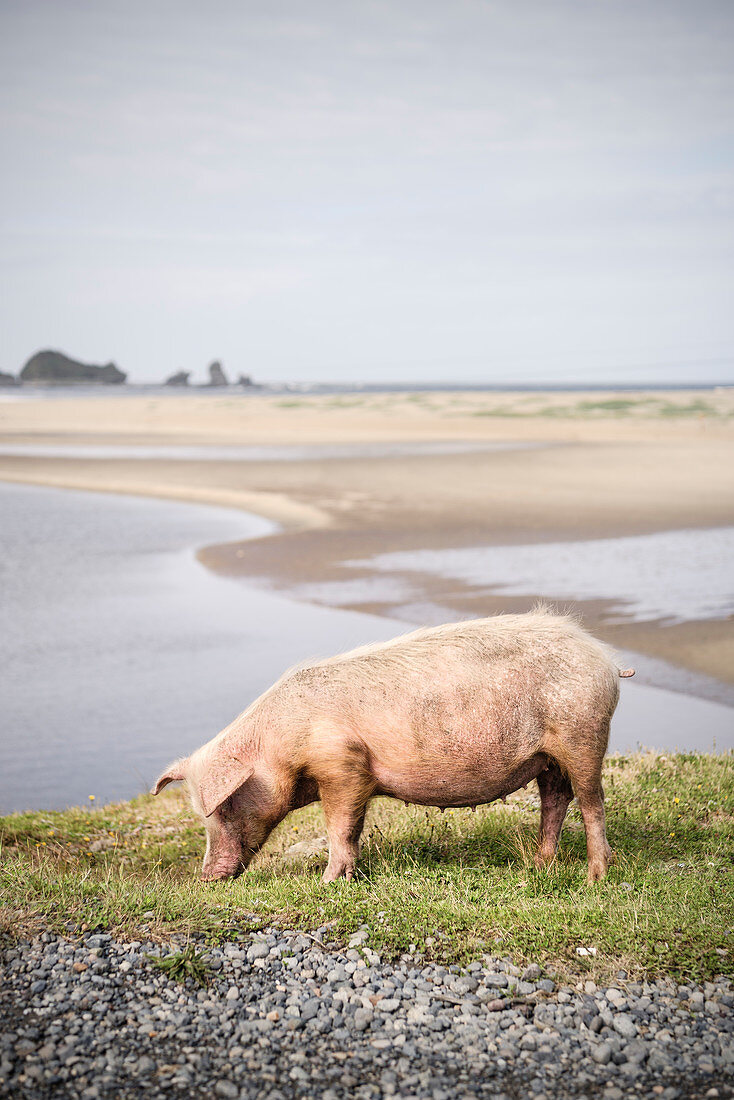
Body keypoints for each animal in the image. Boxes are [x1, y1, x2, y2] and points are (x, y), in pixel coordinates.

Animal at [151, 611, 633, 884]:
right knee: (556, 799)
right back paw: (538, 867)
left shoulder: (343, 765)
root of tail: (606, 659)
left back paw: (594, 877)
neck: (279, 746)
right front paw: (348, 878)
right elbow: (354, 830)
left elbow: (340, 827)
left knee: (592, 801)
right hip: (548, 756)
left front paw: (327, 884)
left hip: (583, 733)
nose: (205, 878)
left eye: (223, 808)